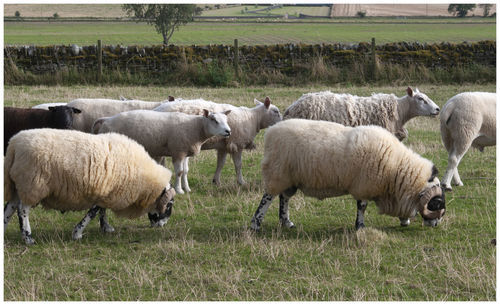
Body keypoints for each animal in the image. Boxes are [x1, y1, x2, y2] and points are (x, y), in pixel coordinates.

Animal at [3, 128, 176, 245]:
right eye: (169, 205)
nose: (163, 225)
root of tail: (14, 145)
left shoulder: (108, 191)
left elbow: (102, 212)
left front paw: (106, 228)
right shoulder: (102, 194)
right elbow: (93, 213)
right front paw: (77, 233)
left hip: (18, 184)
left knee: (9, 208)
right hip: (32, 184)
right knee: (22, 210)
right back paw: (28, 237)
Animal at [93, 109, 231, 194]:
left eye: (226, 120)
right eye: (214, 120)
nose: (228, 131)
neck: (196, 127)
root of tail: (106, 119)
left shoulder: (185, 152)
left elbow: (186, 171)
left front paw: (187, 188)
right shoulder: (178, 151)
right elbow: (179, 172)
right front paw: (179, 190)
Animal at [153, 96, 282, 184]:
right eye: (276, 111)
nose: (283, 122)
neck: (254, 118)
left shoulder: (223, 146)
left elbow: (220, 163)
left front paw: (216, 181)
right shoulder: (237, 144)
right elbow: (238, 165)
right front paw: (241, 182)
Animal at [250, 119, 446, 230]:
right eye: (436, 203)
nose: (436, 225)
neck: (397, 167)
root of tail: (270, 132)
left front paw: (404, 220)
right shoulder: (364, 185)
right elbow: (362, 207)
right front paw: (360, 227)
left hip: (290, 178)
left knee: (284, 198)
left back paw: (287, 223)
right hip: (277, 172)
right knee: (267, 198)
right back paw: (255, 224)